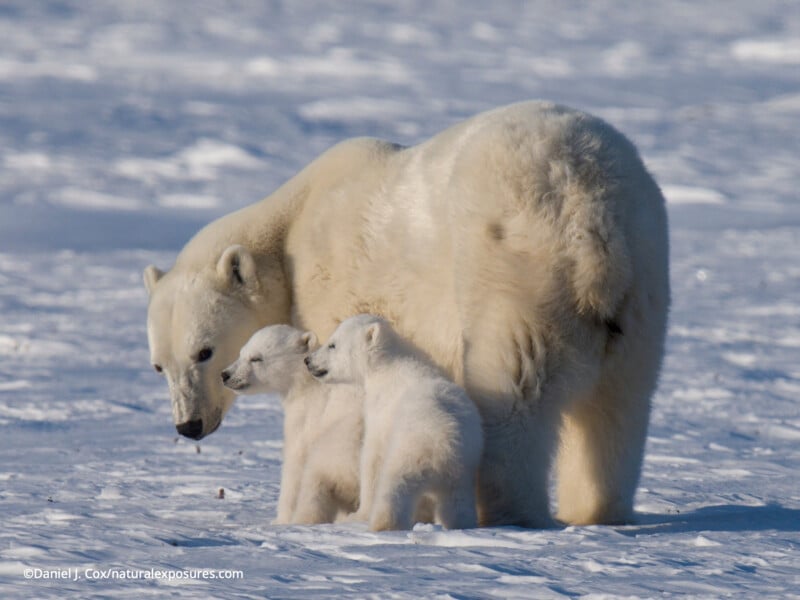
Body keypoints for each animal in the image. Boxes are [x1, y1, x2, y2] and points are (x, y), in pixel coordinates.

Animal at [221, 324, 363, 524]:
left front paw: (280, 520)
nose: (225, 374)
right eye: (242, 352)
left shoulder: (309, 417)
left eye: (256, 358)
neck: (308, 383)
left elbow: (295, 466)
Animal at [306, 314, 483, 531]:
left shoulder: (381, 412)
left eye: (333, 344)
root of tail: (444, 443)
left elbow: (372, 459)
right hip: (462, 468)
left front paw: (359, 514)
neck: (388, 366)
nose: (308, 360)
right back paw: (459, 524)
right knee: (457, 503)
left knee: (395, 485)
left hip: (409, 450)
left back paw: (383, 523)